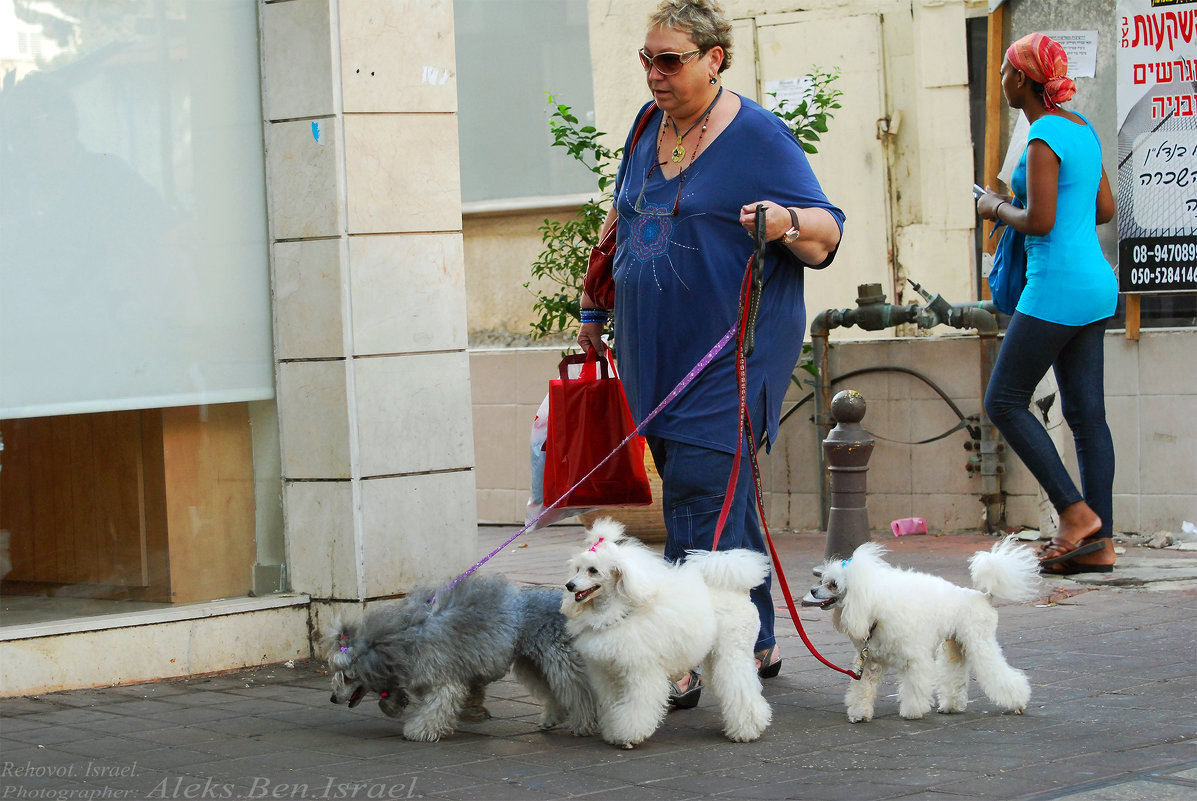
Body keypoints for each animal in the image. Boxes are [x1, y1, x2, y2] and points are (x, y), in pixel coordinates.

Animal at [320, 574, 596, 737]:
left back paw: (585, 724)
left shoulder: (443, 680)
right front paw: (474, 714)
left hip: (559, 658)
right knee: (555, 691)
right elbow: (471, 695)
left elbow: (437, 707)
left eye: (347, 676)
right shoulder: (465, 673)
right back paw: (553, 718)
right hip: (534, 662)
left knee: (580, 692)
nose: (332, 698)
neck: (399, 640)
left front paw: (418, 731)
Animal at [557, 519, 770, 751]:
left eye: (593, 570)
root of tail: (739, 591)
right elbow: (612, 705)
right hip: (714, 655)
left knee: (741, 688)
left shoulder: (641, 673)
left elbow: (637, 707)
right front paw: (613, 733)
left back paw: (746, 731)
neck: (617, 611)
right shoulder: (608, 673)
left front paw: (628, 736)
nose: (569, 585)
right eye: (577, 569)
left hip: (733, 652)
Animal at [804, 541, 1038, 723]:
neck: (875, 609)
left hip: (980, 643)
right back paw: (951, 706)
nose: (813, 590)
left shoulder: (914, 659)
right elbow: (863, 689)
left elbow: (914, 686)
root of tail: (984, 596)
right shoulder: (870, 663)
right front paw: (860, 714)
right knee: (956, 675)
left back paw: (1018, 702)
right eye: (822, 581)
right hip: (956, 644)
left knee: (998, 672)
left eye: (833, 584)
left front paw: (912, 712)